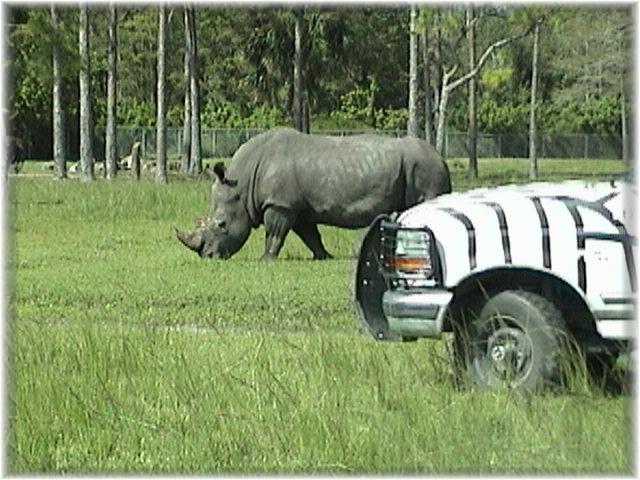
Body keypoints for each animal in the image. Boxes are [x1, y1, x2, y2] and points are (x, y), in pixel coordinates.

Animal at [176, 127, 450, 258]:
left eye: (222, 224)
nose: (208, 256)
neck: (242, 184)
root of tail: (441, 158)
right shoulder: (296, 207)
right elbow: (310, 235)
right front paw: (324, 256)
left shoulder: (279, 205)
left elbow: (274, 235)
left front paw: (266, 258)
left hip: (424, 167)